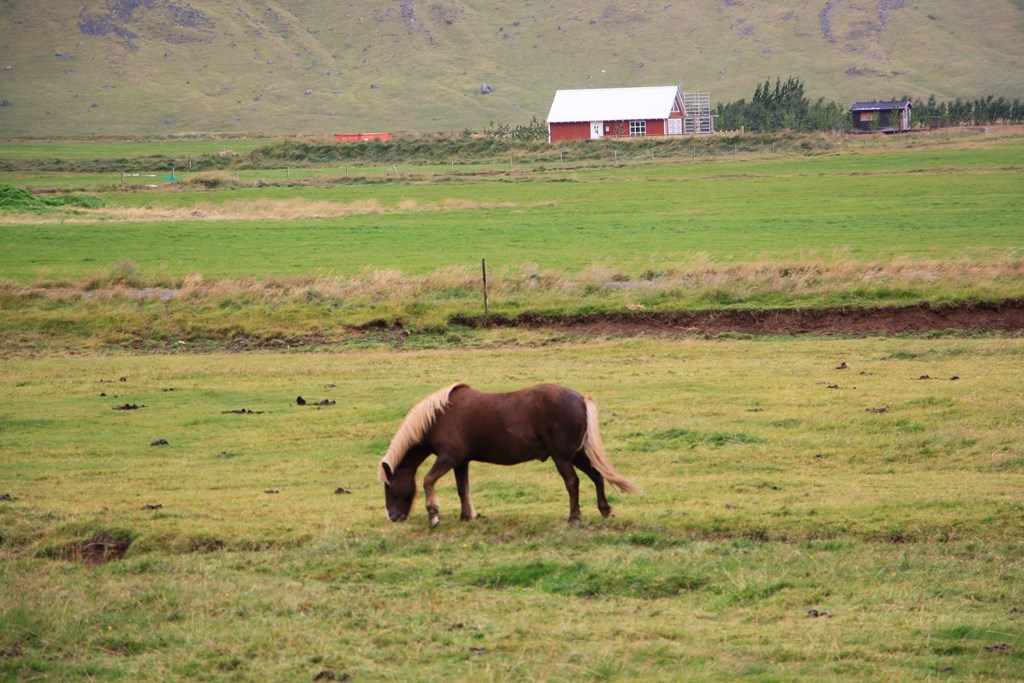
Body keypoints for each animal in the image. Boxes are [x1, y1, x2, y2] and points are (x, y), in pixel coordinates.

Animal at [380, 385, 634, 528]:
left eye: (388, 487)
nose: (393, 517)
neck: (439, 416)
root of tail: (581, 399)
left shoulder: (449, 458)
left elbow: (428, 481)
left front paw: (434, 515)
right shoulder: (461, 462)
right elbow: (463, 489)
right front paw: (467, 516)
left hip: (563, 457)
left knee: (573, 483)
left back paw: (574, 517)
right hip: (577, 455)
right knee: (597, 476)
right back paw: (605, 509)